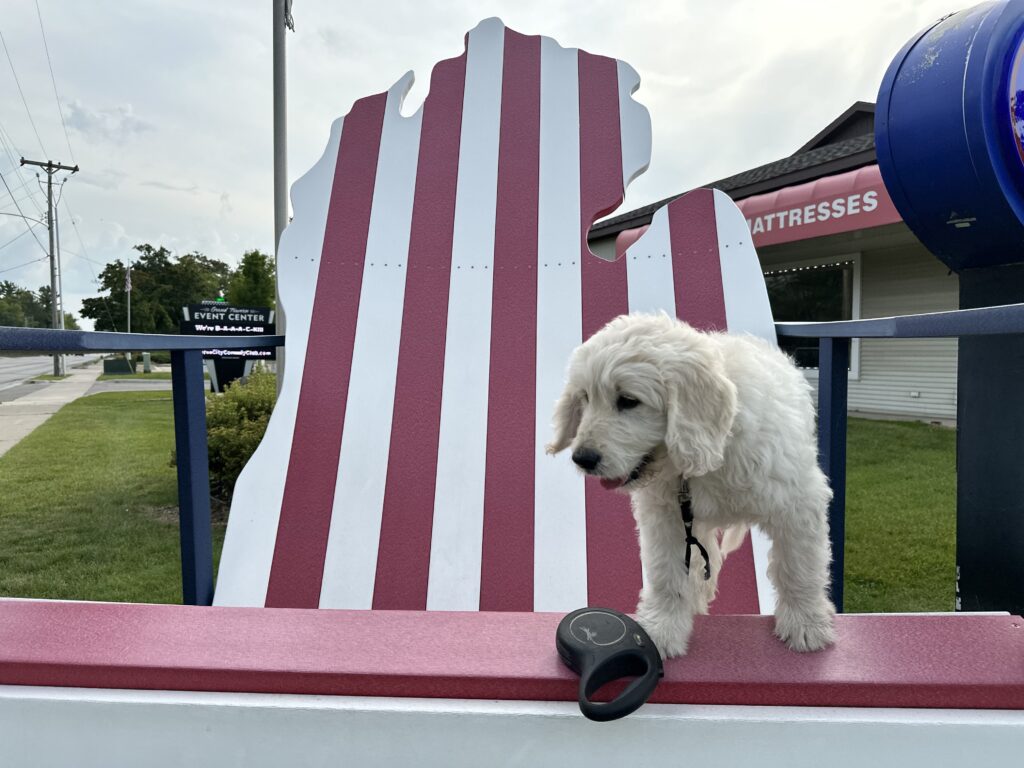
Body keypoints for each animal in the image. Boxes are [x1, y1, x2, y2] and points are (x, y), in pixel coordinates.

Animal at [547, 313, 836, 658]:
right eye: (586, 397)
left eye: (628, 401)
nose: (582, 458)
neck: (712, 453)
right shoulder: (667, 516)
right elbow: (667, 575)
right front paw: (662, 628)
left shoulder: (797, 505)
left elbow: (799, 567)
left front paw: (806, 624)